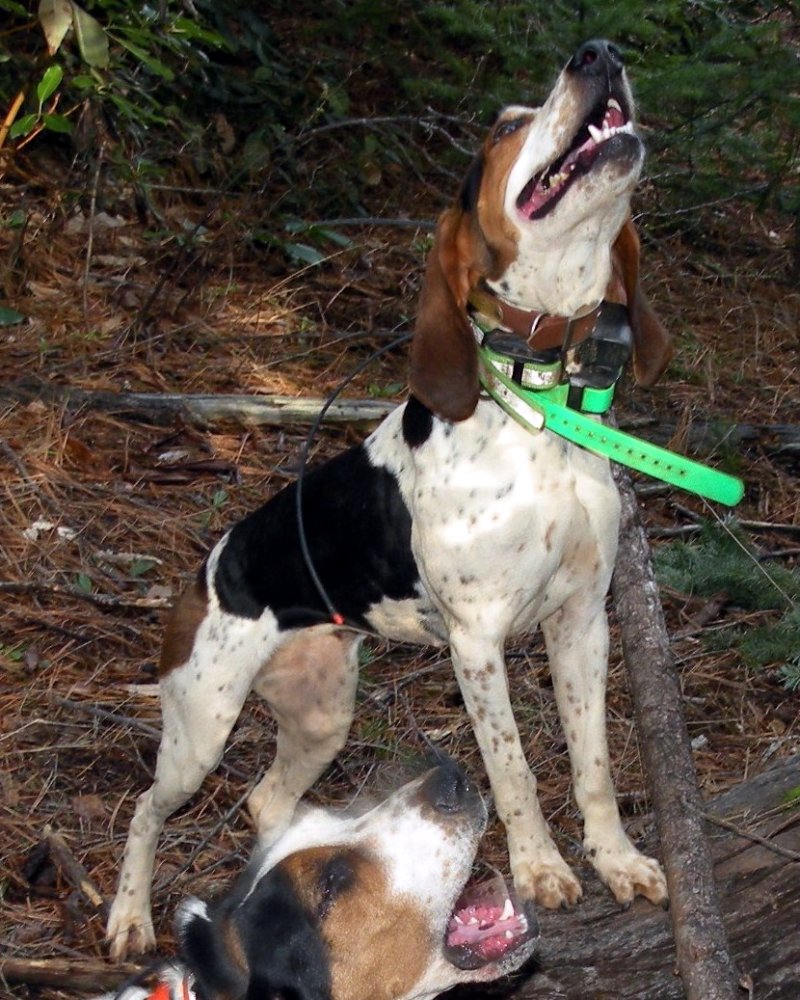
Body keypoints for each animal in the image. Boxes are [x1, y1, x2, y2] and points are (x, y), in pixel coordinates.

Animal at [107, 38, 672, 960]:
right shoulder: (477, 644)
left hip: (322, 714)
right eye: (505, 128)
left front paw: (615, 860)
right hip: (200, 727)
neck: (538, 406)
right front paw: (543, 869)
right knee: (145, 811)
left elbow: (594, 768)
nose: (599, 53)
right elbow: (514, 770)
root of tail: (207, 566)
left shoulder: (582, 620)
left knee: (266, 801)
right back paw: (127, 915)